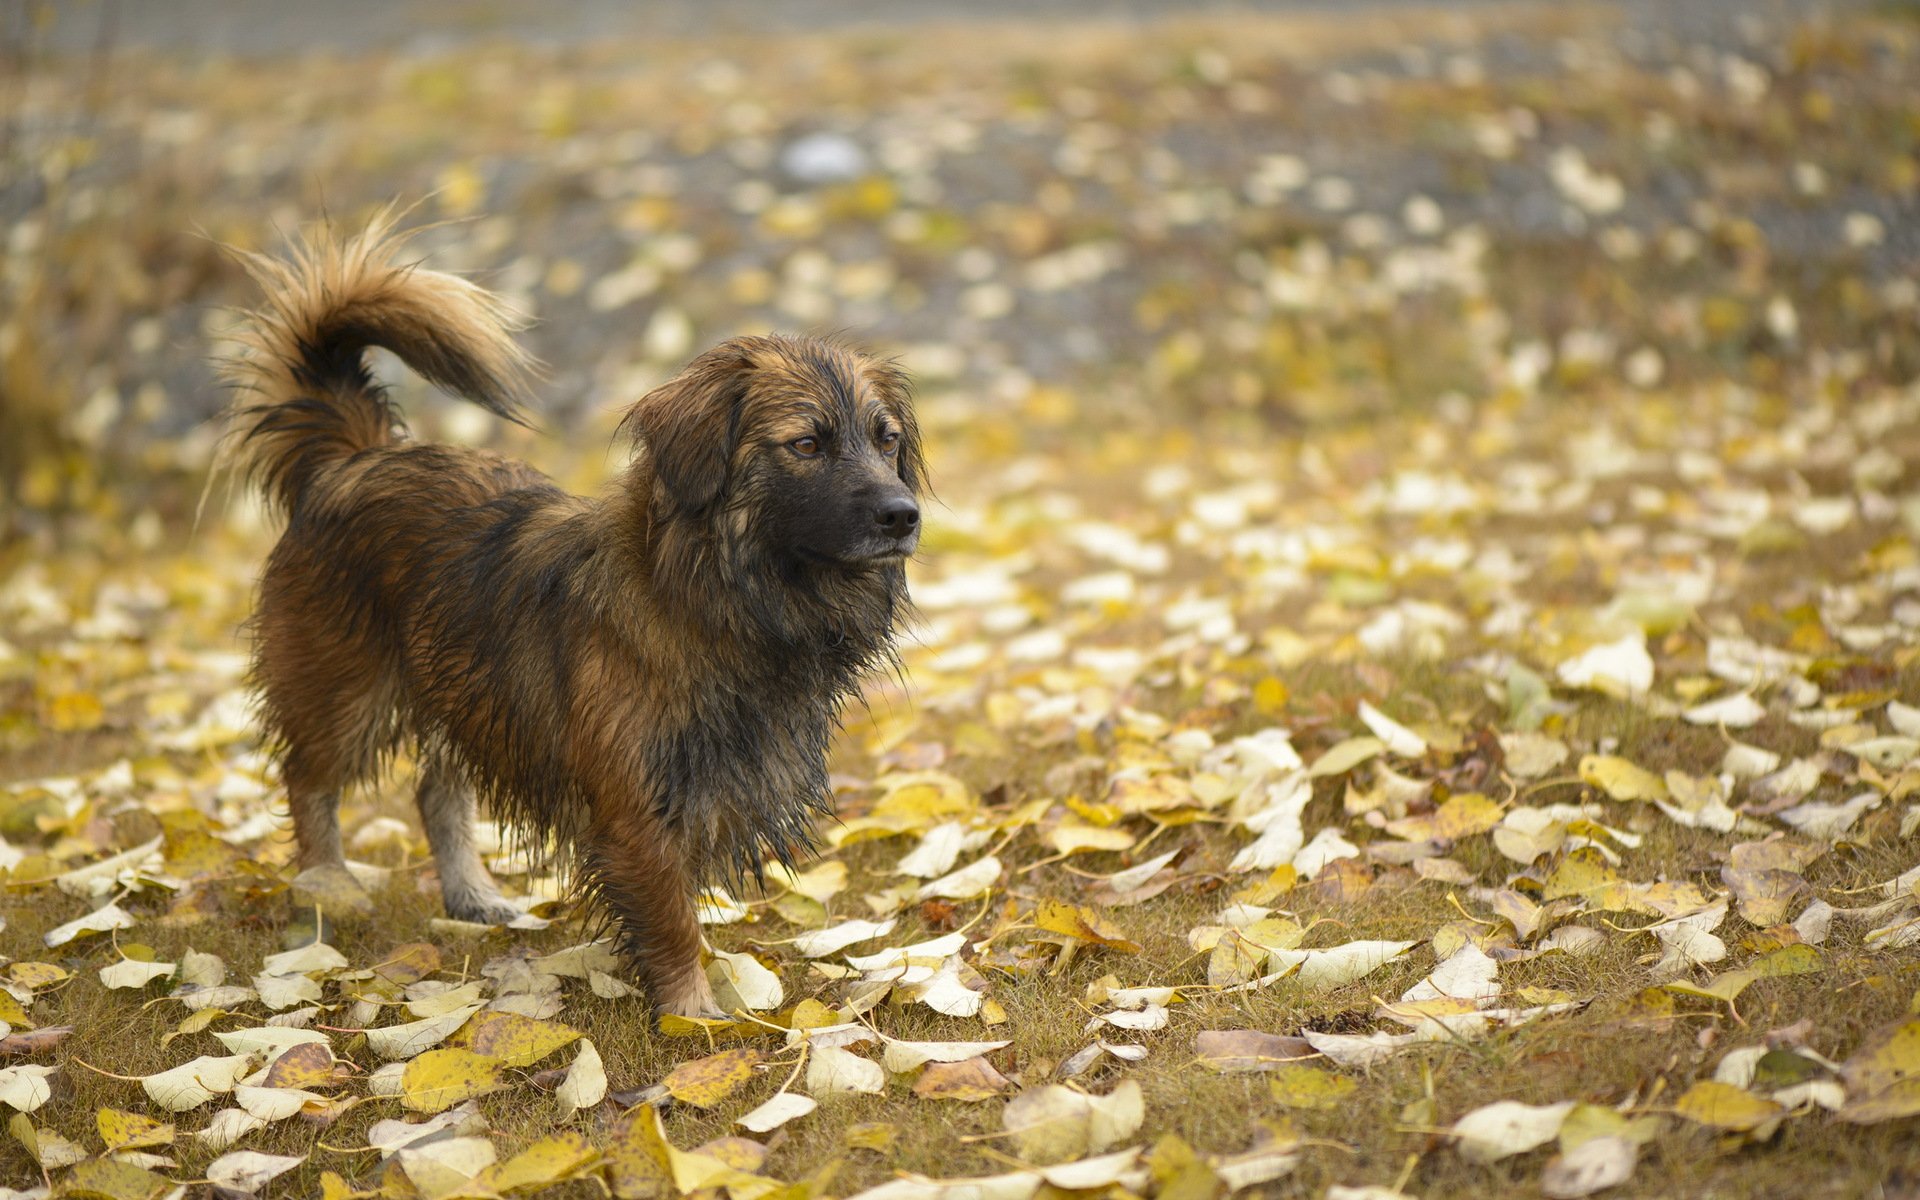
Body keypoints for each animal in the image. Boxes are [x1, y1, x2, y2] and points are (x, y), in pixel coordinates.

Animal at [220, 213, 925, 1013]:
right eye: (806, 443)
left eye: (887, 439)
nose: (904, 516)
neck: (717, 600)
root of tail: (353, 458)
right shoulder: (636, 810)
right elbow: (672, 920)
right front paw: (694, 1017)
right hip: (347, 691)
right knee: (310, 782)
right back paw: (325, 892)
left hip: (465, 685)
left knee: (436, 791)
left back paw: (471, 895)